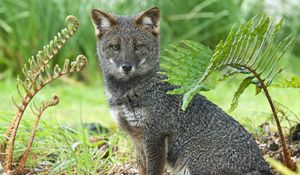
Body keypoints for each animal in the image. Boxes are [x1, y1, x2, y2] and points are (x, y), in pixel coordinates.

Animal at [90, 6, 270, 175]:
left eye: (138, 46)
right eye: (115, 47)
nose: (126, 67)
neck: (127, 93)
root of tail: (262, 164)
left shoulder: (155, 135)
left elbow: (153, 170)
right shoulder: (137, 138)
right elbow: (142, 168)